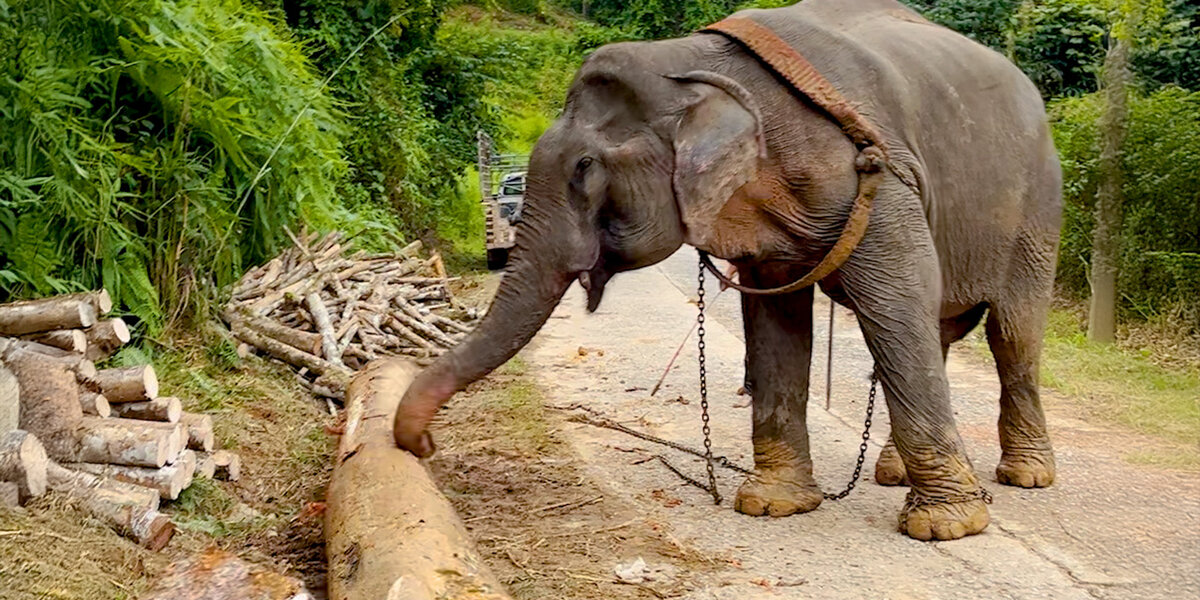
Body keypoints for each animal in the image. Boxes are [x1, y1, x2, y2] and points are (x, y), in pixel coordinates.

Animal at [393, 0, 1062, 542]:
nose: (424, 444)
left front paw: (947, 528)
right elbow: (773, 321)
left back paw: (1025, 476)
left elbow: (895, 301)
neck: (685, 59)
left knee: (1010, 334)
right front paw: (773, 507)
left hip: (1037, 209)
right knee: (941, 327)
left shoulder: (875, 177)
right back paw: (895, 472)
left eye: (585, 168)